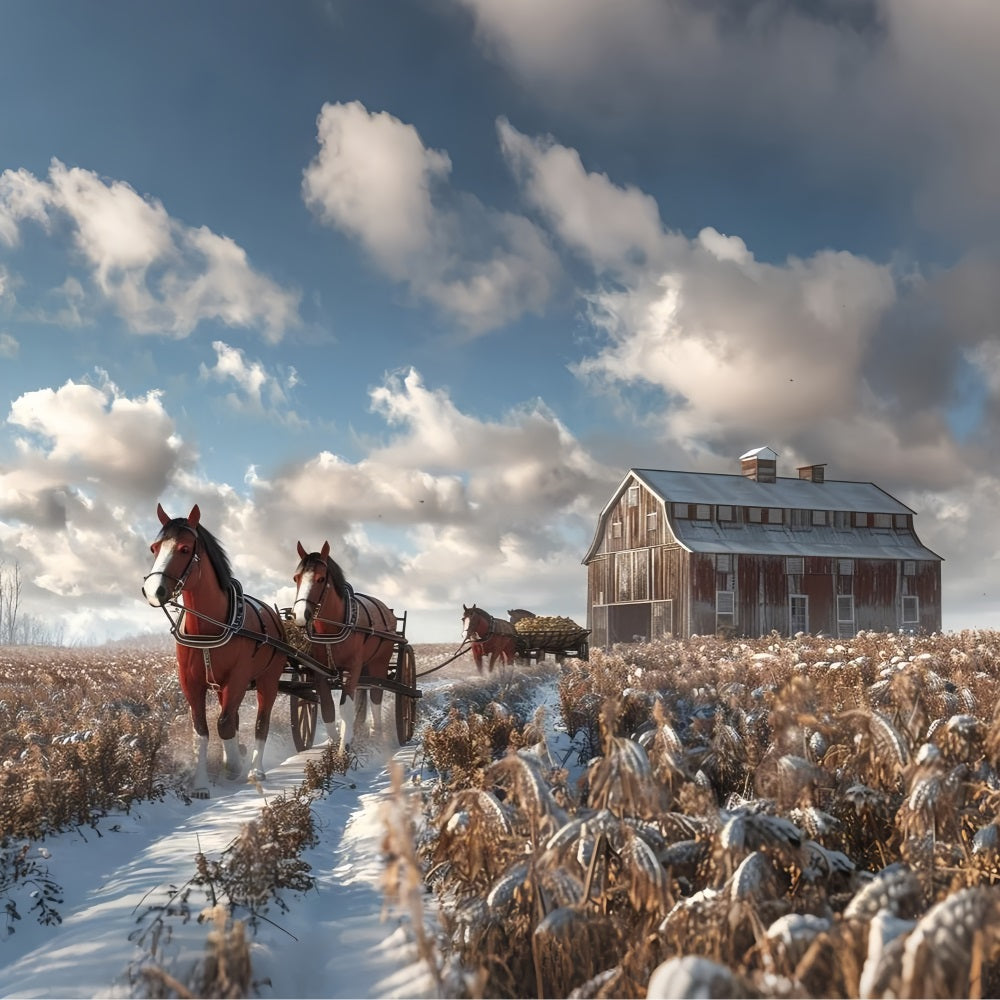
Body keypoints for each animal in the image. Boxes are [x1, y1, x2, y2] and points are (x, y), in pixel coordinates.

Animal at [143, 504, 288, 800]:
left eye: (185, 548)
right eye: (154, 547)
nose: (153, 592)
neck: (209, 627)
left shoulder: (238, 678)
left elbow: (223, 724)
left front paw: (233, 765)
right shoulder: (191, 683)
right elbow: (202, 730)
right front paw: (201, 784)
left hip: (268, 680)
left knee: (261, 721)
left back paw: (255, 769)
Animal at [292, 540, 396, 752]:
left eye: (321, 578)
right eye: (296, 578)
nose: (299, 615)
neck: (333, 629)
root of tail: (386, 610)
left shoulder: (352, 668)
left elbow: (346, 706)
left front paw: (344, 745)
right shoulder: (320, 672)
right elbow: (327, 708)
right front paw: (333, 742)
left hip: (380, 662)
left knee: (376, 694)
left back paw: (376, 732)